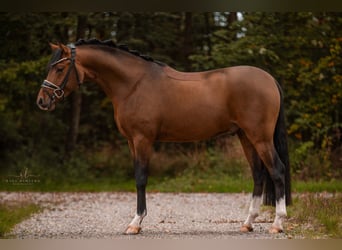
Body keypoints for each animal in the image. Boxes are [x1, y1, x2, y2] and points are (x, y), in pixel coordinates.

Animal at [35, 38, 292, 234]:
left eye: (59, 68)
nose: (42, 101)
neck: (133, 84)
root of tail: (270, 79)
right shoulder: (131, 141)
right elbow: (137, 177)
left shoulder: (142, 139)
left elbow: (141, 178)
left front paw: (135, 223)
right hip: (245, 137)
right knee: (258, 174)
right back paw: (248, 223)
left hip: (260, 137)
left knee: (277, 170)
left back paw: (277, 223)